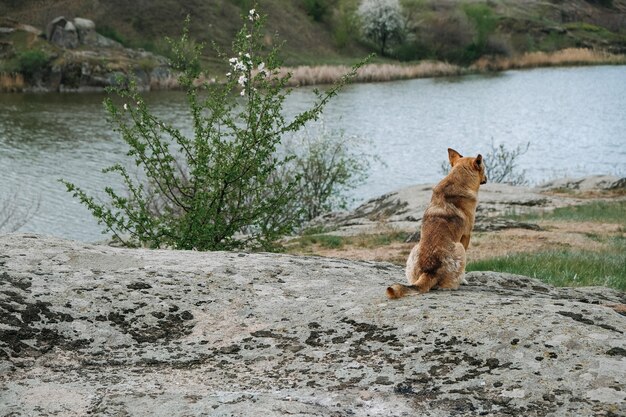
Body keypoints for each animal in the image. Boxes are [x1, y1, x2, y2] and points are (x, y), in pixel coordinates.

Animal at [386, 148, 488, 298]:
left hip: (414, 250)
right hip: (459, 248)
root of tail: (429, 271)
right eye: (484, 168)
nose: (487, 178)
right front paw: (464, 280)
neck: (457, 180)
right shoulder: (466, 236)